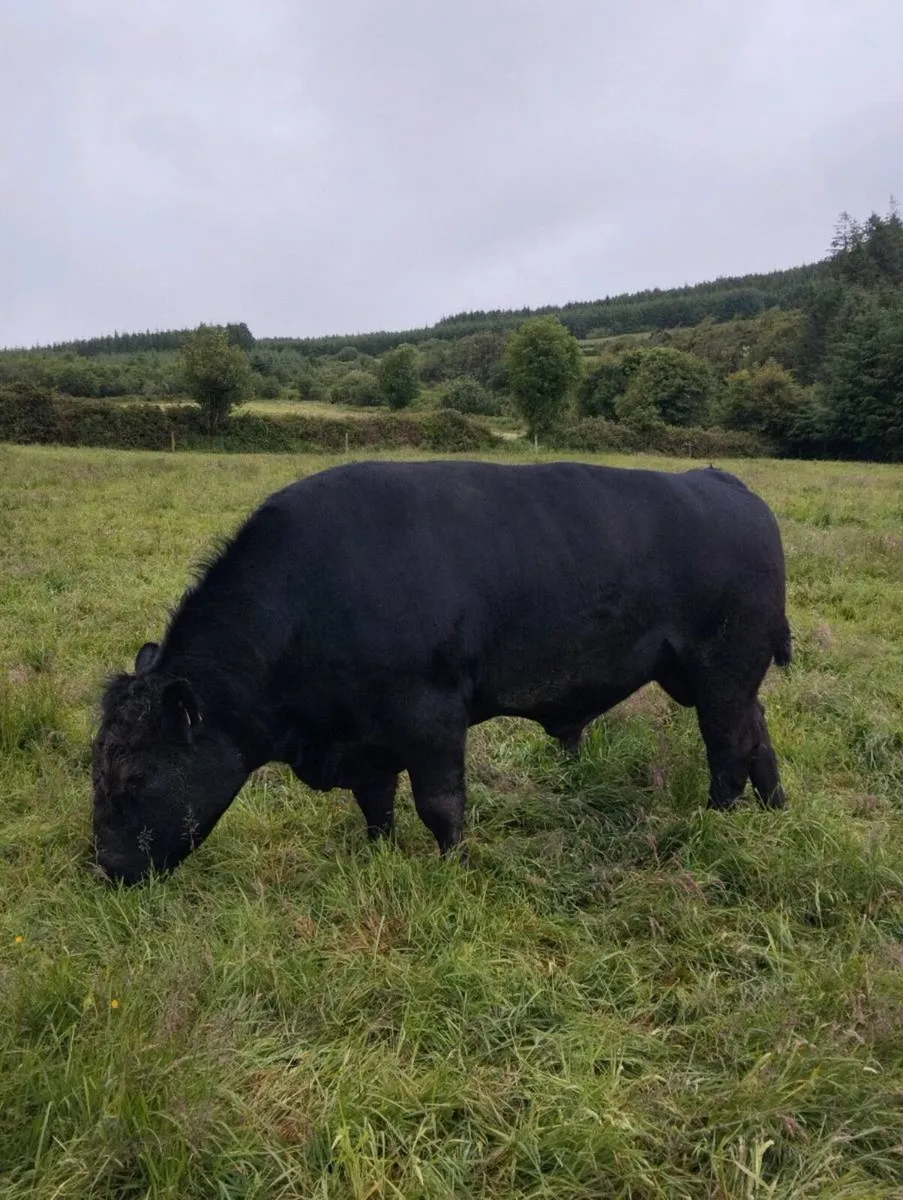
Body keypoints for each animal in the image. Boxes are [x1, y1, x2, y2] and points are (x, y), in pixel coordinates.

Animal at [92, 459, 792, 885]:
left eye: (134, 776)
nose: (105, 868)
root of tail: (723, 483)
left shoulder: (429, 714)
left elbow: (440, 804)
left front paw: (453, 870)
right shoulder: (364, 736)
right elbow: (376, 804)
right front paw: (375, 856)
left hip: (723, 668)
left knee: (728, 747)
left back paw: (714, 824)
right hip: (718, 676)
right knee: (757, 735)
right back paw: (775, 812)